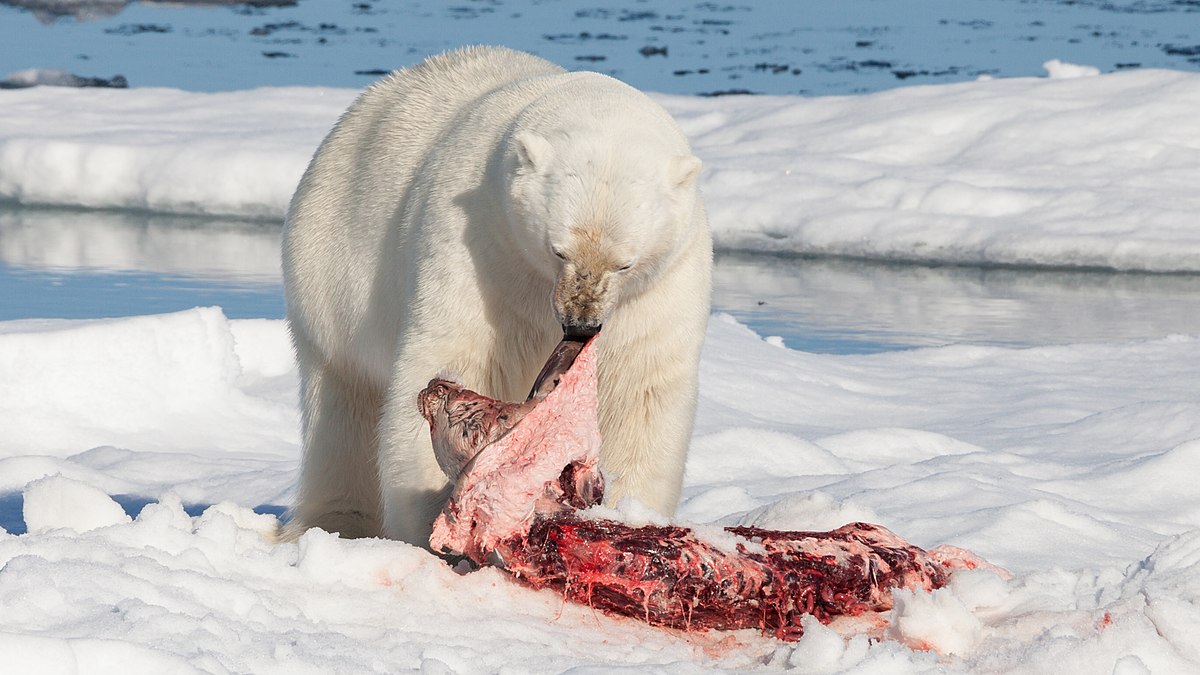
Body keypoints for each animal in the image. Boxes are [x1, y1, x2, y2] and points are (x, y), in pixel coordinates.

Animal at [280, 44, 710, 542]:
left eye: (625, 262)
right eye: (558, 249)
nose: (580, 325)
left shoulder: (664, 281)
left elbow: (641, 387)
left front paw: (627, 512)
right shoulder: (481, 247)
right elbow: (458, 356)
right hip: (329, 267)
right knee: (342, 405)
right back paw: (337, 522)